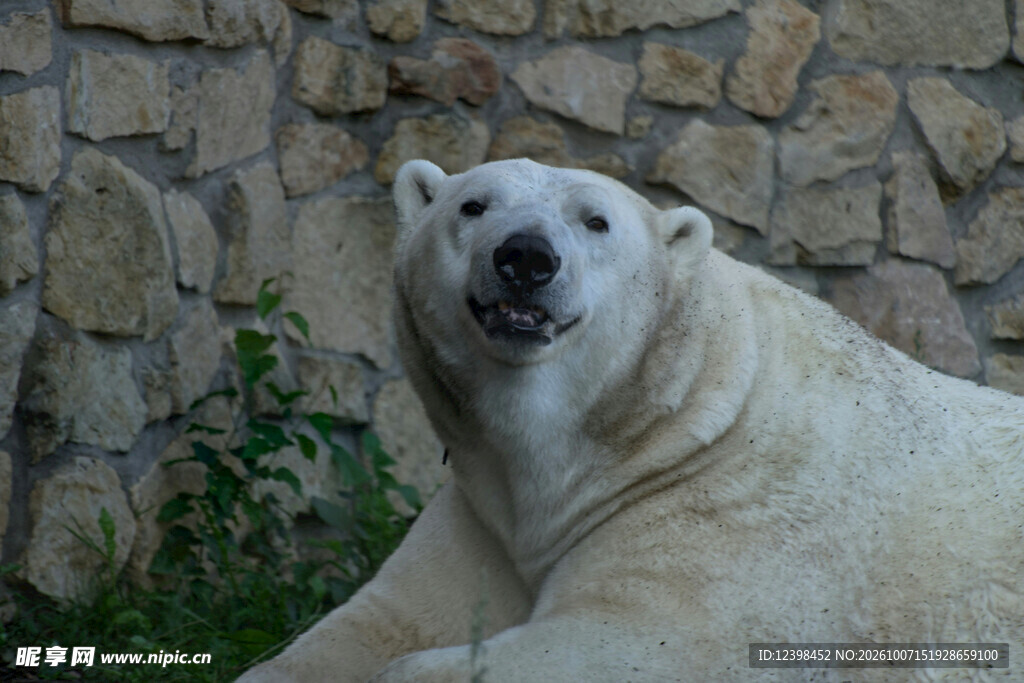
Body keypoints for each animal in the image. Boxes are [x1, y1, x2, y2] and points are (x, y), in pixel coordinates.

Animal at [240, 159, 1024, 682]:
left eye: (596, 220)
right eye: (473, 205)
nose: (526, 257)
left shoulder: (726, 519)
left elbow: (634, 637)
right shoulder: (482, 512)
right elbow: (379, 619)